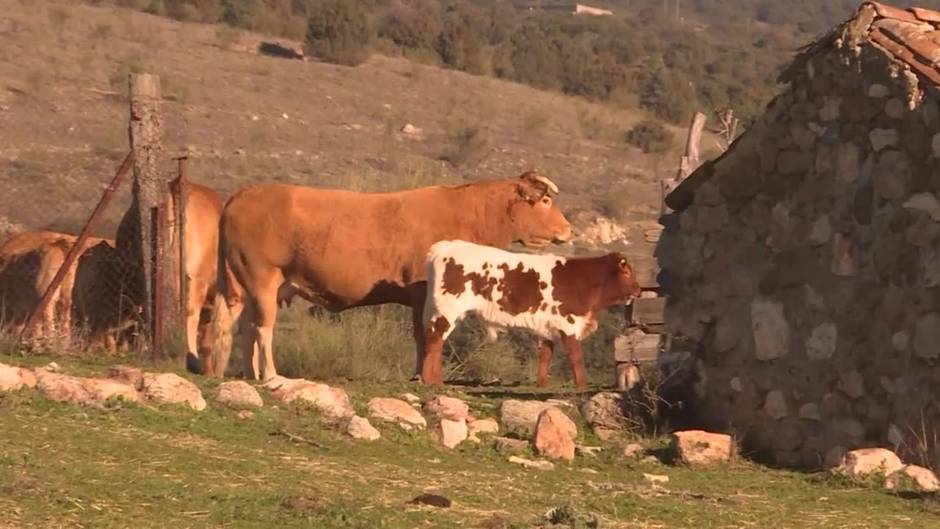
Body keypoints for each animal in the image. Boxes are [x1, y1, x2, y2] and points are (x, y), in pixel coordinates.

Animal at [422, 240, 644, 388]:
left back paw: (436, 380)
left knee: (437, 341)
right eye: (626, 273)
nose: (638, 290)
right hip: (447, 311)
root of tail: (446, 246)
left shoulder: (547, 327)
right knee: (434, 339)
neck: (582, 280)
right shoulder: (568, 324)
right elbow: (576, 356)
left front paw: (542, 385)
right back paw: (430, 381)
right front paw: (581, 386)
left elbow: (545, 356)